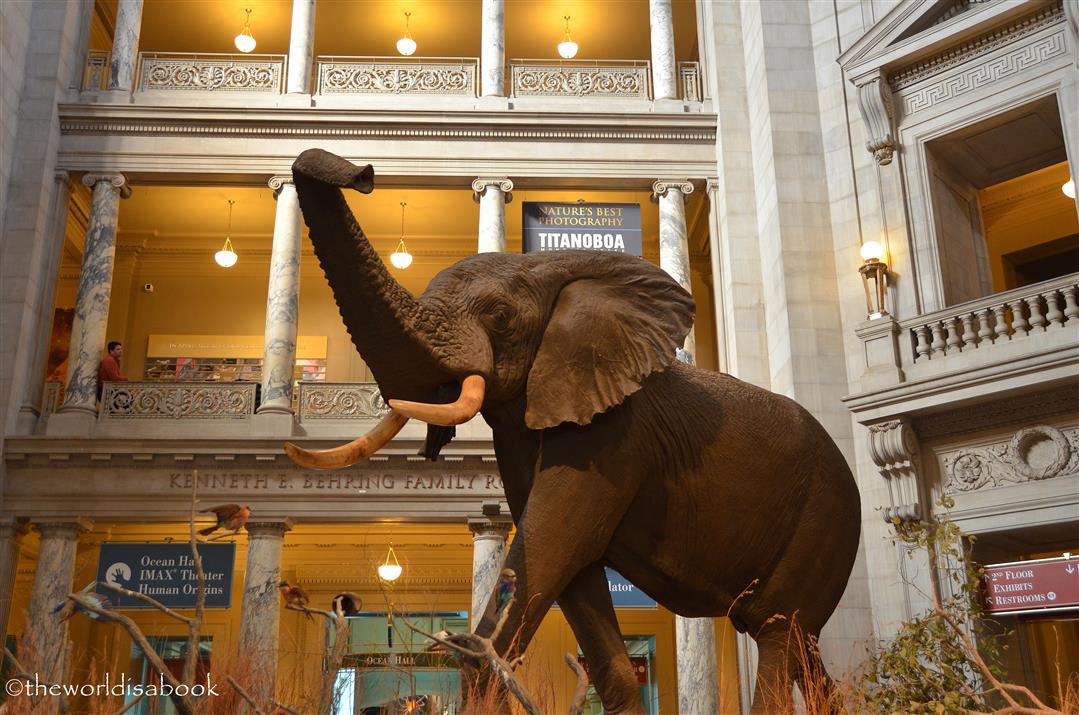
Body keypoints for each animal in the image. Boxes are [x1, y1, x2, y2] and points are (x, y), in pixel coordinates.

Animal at [284, 147, 858, 711]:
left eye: (499, 316)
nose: (362, 173)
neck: (548, 269)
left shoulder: (612, 435)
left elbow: (548, 547)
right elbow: (575, 581)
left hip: (824, 517)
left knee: (779, 633)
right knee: (803, 648)